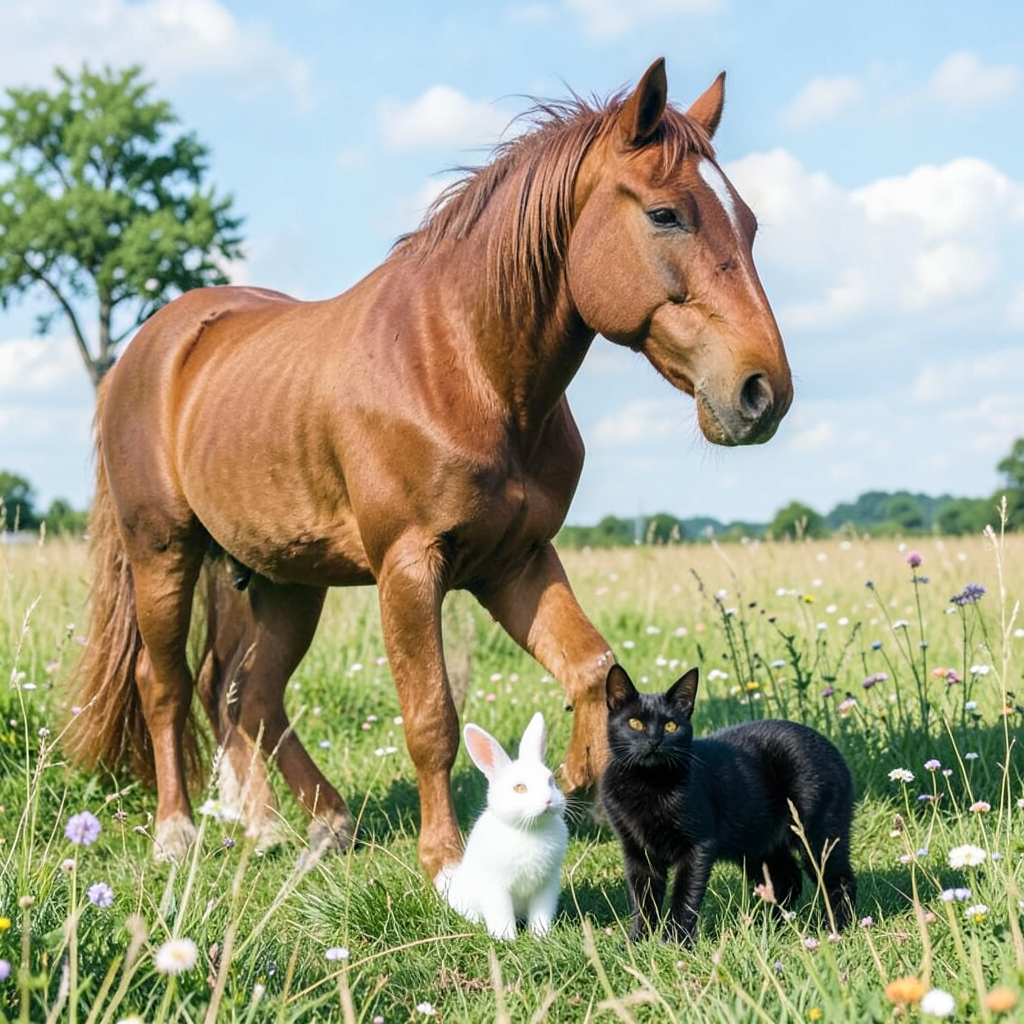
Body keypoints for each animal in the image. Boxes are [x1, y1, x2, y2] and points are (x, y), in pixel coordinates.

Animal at [66, 58, 792, 881]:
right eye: (667, 214)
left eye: (750, 223)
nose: (763, 391)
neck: (464, 366)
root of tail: (148, 348)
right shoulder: (409, 567)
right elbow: (432, 717)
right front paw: (446, 860)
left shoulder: (515, 561)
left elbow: (588, 663)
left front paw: (577, 775)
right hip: (163, 551)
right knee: (167, 685)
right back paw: (178, 833)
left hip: (285, 578)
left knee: (246, 694)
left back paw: (296, 827)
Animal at [438, 711, 568, 939]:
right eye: (520, 788)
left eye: (551, 781)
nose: (548, 800)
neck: (528, 830)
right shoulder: (496, 888)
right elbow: (502, 915)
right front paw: (506, 939)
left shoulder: (546, 886)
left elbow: (541, 913)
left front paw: (540, 936)